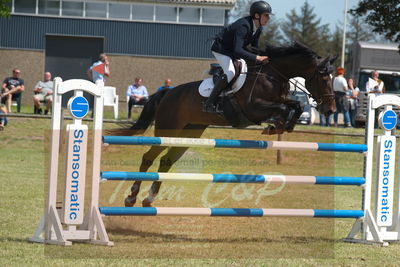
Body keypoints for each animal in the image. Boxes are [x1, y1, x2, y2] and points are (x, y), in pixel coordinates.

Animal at [117, 42, 336, 208]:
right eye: (324, 77)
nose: (331, 109)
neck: (273, 75)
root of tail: (168, 92)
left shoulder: (278, 102)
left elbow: (295, 106)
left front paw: (281, 126)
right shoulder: (254, 108)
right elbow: (283, 108)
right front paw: (276, 125)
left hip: (190, 133)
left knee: (166, 161)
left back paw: (149, 198)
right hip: (168, 129)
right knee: (148, 157)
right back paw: (131, 197)